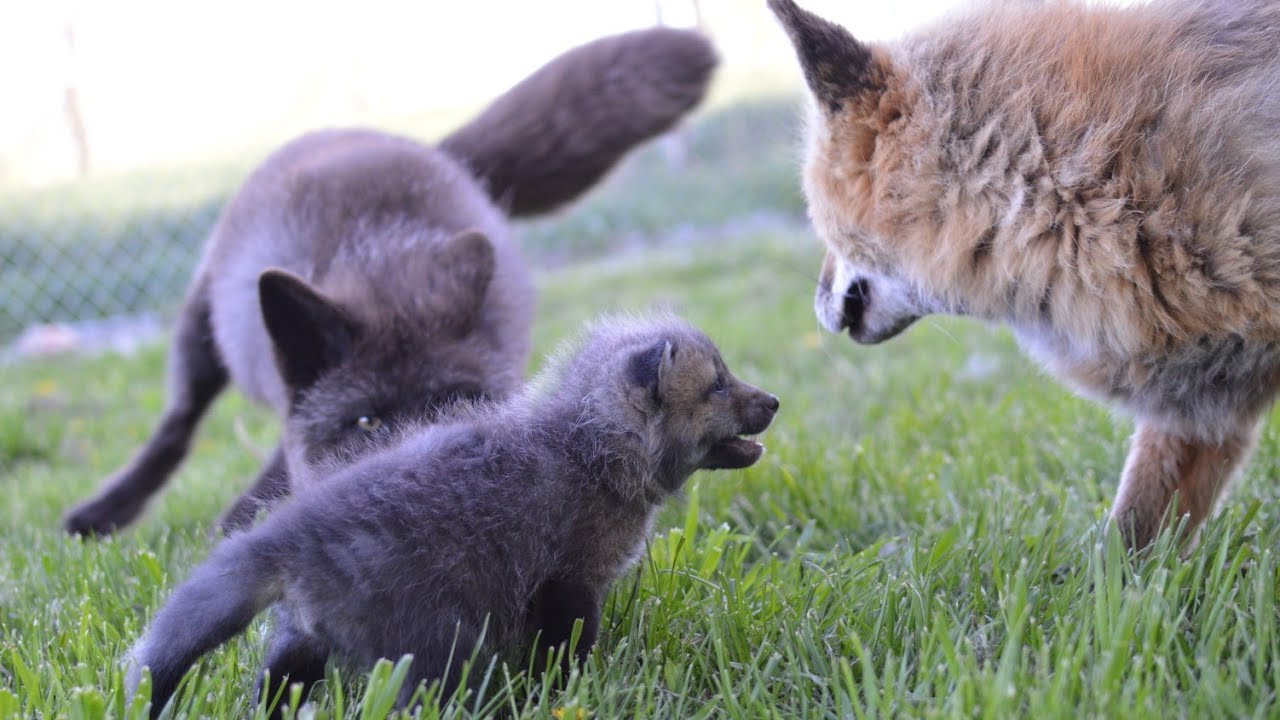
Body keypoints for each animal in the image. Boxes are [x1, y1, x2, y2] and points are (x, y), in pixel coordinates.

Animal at [63, 27, 718, 536]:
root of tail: (431, 150)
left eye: (462, 411)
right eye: (366, 426)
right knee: (177, 425)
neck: (384, 268)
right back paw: (108, 511)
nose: (430, 492)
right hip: (200, 334)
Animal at [123, 315, 779, 718]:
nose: (773, 401)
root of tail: (284, 538)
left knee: (275, 682)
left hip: (305, 639)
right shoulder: (567, 582)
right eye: (718, 385)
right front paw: (570, 691)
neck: (588, 448)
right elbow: (565, 650)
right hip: (435, 647)